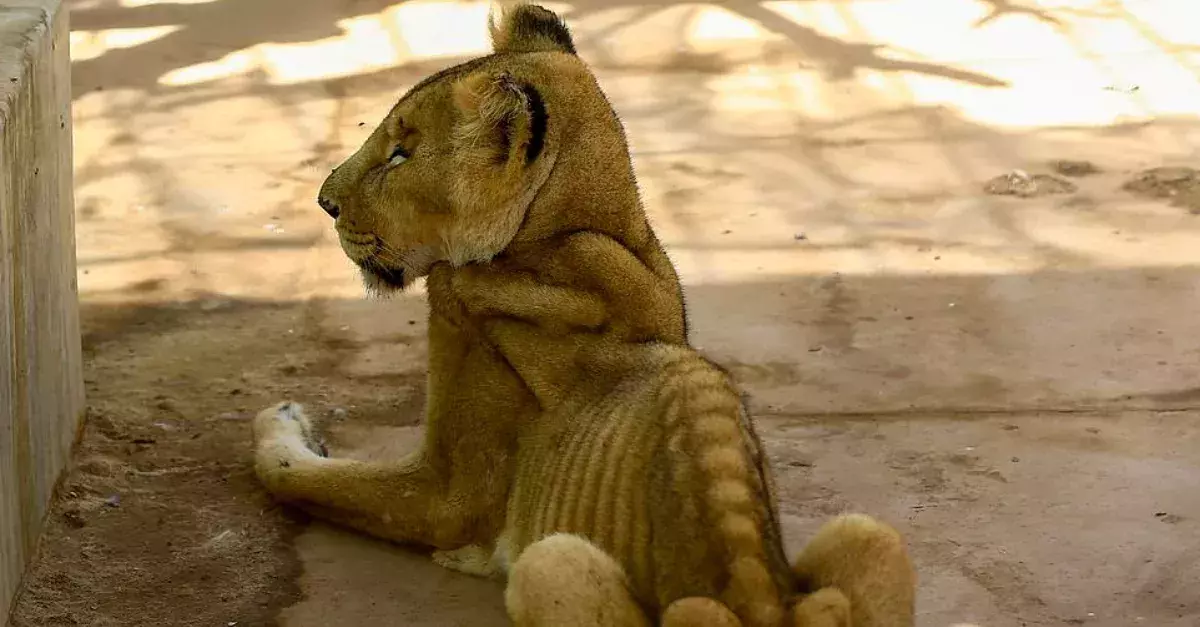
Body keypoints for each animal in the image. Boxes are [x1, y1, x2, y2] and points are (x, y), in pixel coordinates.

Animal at [252, 4, 916, 626]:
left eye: (400, 155)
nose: (324, 202)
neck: (581, 237)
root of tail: (758, 606)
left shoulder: (445, 495)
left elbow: (298, 475)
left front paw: (279, 421)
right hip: (871, 532)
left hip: (548, 562)